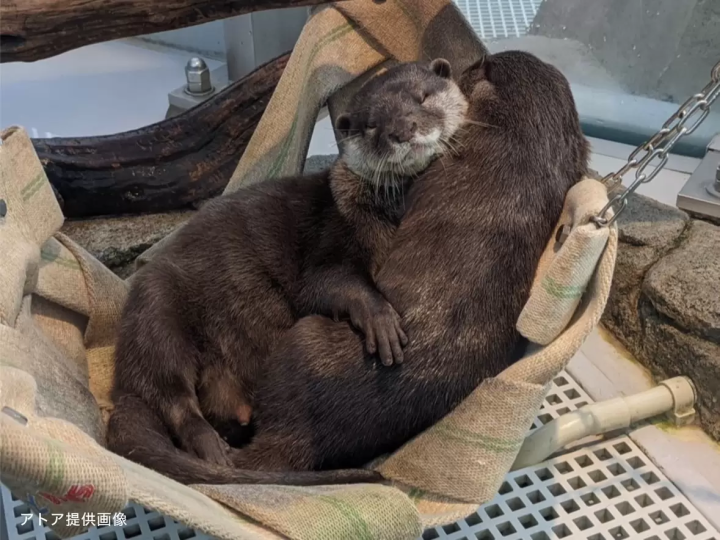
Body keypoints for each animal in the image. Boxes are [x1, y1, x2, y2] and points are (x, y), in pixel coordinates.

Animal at [107, 58, 469, 486]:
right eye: (371, 126)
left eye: (422, 96)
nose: (402, 130)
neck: (387, 212)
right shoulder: (332, 233)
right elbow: (325, 283)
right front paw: (381, 320)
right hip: (156, 304)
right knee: (168, 390)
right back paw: (210, 448)